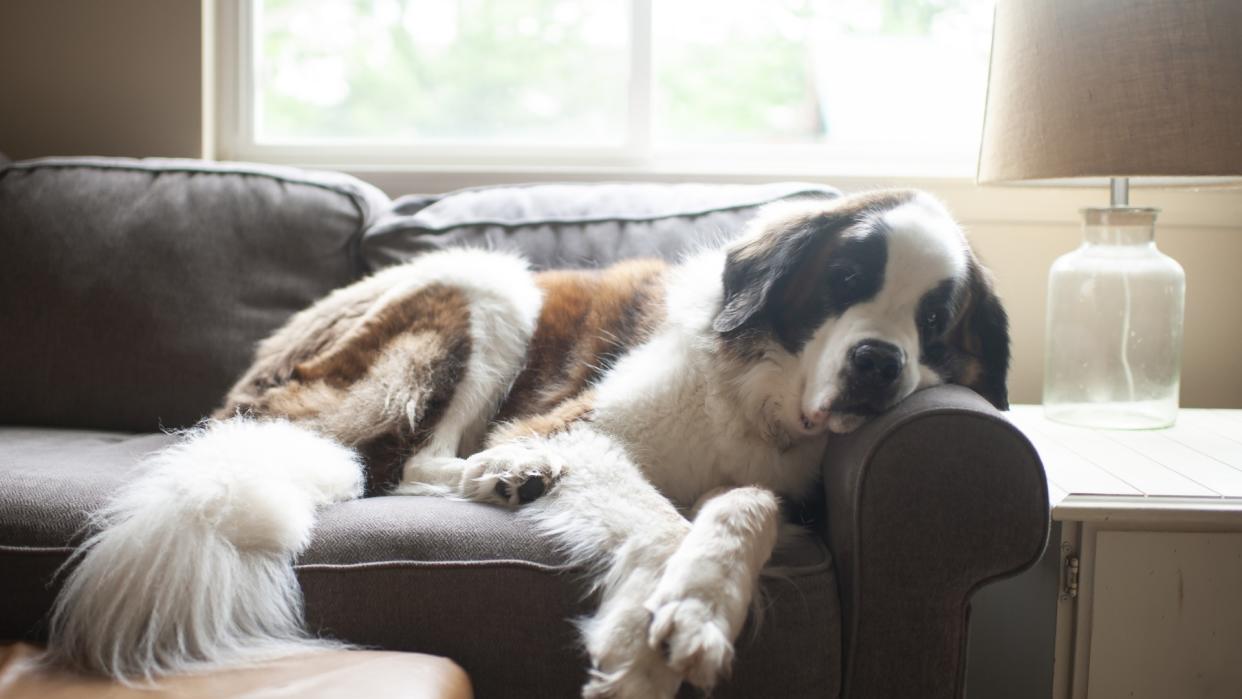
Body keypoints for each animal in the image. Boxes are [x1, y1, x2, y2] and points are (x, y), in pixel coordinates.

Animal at [50, 188, 1008, 695]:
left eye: (935, 320)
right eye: (846, 278)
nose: (881, 363)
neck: (758, 392)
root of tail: (256, 381)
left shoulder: (766, 479)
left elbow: (745, 502)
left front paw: (697, 608)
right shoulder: (581, 429)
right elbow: (658, 523)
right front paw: (641, 649)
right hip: (490, 284)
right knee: (400, 463)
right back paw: (507, 470)